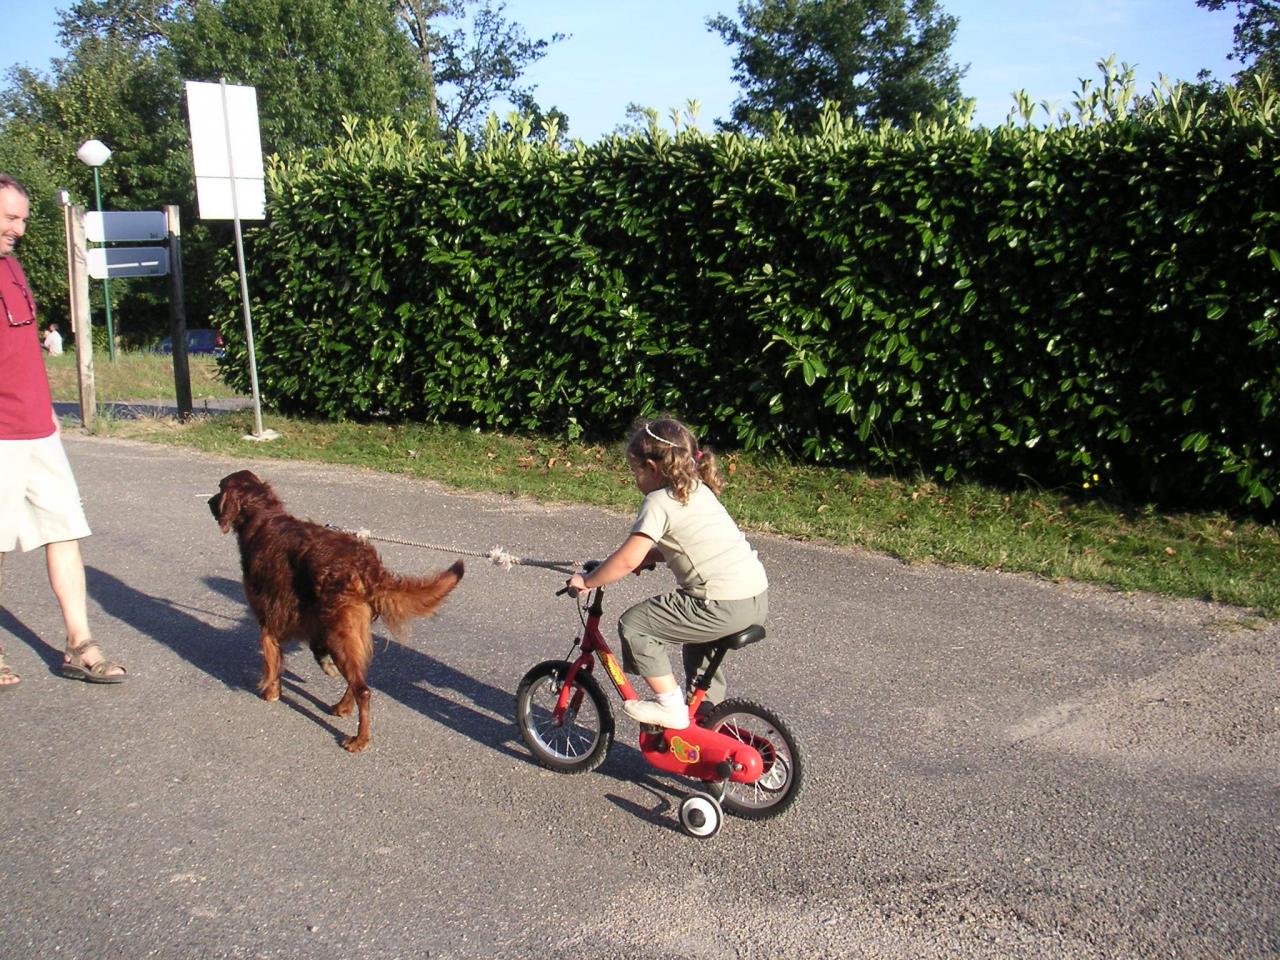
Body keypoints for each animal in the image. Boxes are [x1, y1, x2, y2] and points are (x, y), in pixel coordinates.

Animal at [209, 471, 465, 757]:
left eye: (219, 489)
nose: (209, 502)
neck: (263, 515)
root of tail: (366, 565)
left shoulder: (269, 615)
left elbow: (272, 658)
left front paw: (271, 692)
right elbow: (308, 647)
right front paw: (321, 665)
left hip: (339, 630)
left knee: (363, 690)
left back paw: (360, 739)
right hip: (347, 630)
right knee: (358, 679)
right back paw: (343, 707)